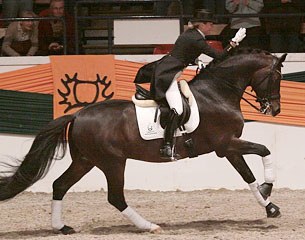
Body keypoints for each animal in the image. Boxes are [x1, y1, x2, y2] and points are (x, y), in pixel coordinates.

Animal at [0, 48, 284, 234]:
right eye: (277, 77)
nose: (275, 109)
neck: (217, 92)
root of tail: (78, 114)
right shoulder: (225, 144)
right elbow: (265, 150)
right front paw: (268, 189)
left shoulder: (228, 147)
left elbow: (248, 175)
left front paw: (269, 206)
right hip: (112, 162)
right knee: (115, 197)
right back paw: (149, 226)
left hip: (86, 160)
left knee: (59, 185)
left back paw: (61, 227)